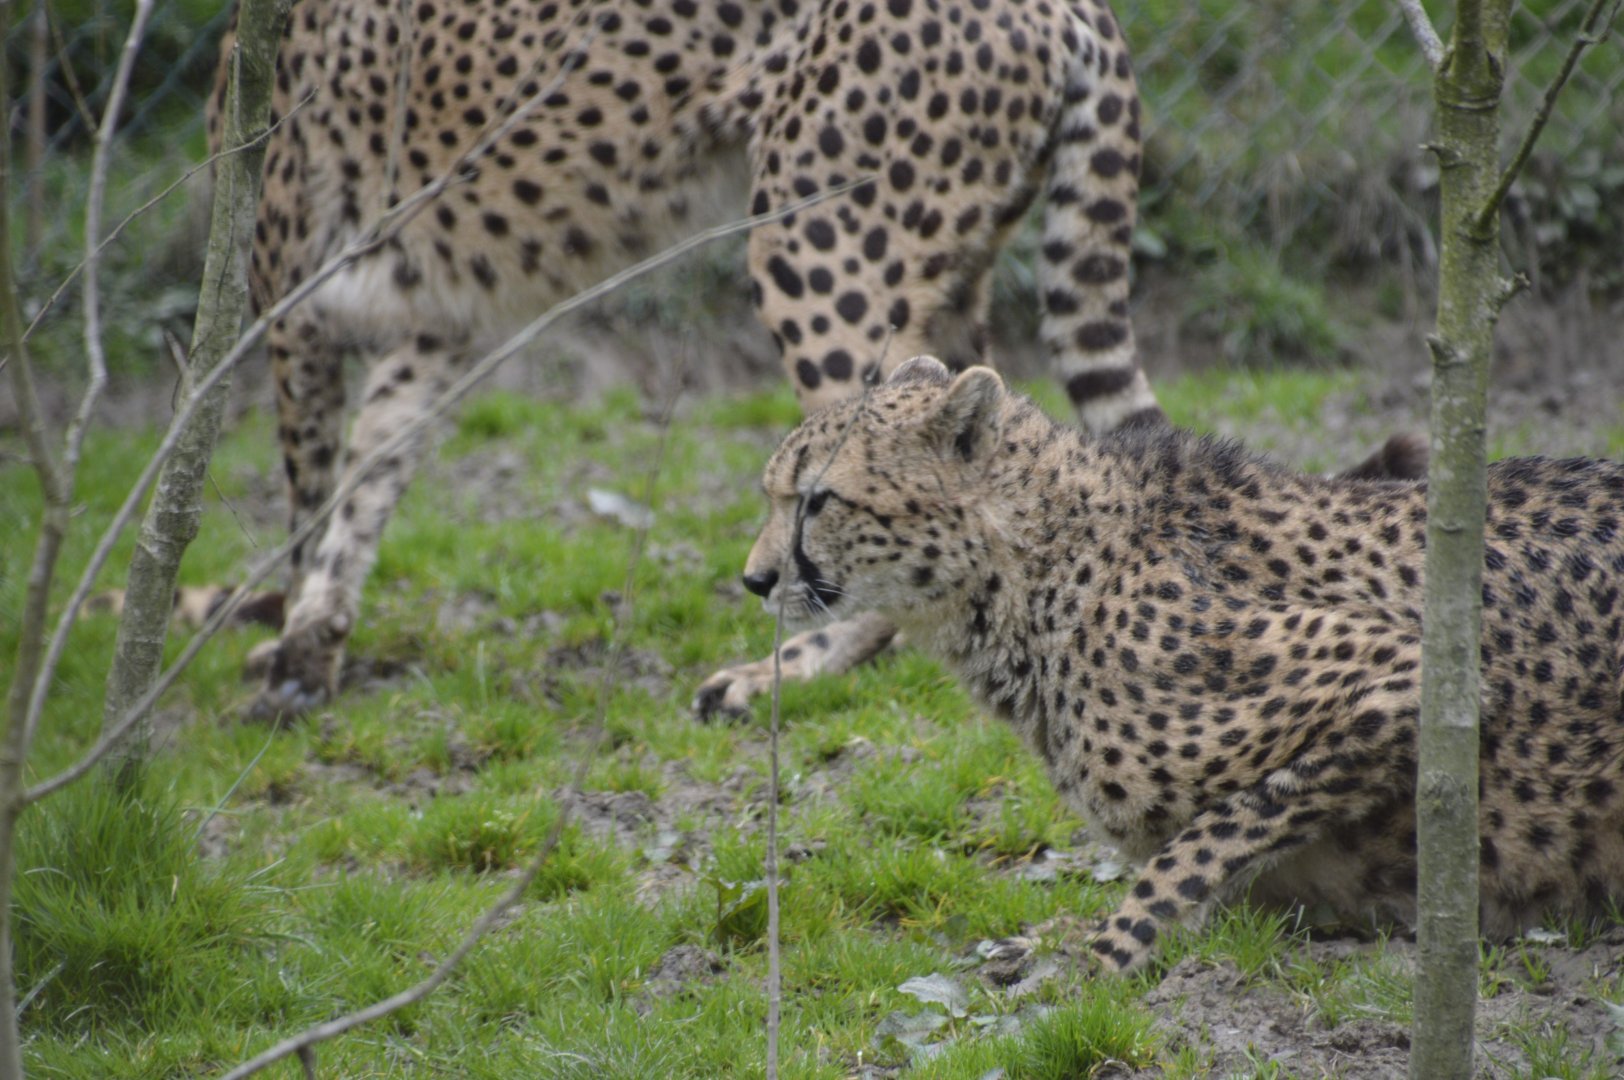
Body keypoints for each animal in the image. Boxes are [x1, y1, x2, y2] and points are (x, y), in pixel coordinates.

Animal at [218, 0, 1423, 718]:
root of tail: (1070, 4)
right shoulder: (433, 326)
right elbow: (369, 476)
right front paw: (314, 641)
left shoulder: (293, 301)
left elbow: (308, 491)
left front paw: (281, 643)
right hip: (945, 283)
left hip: (814, 236)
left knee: (891, 525)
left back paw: (774, 672)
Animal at [743, 354, 1624, 973]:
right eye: (774, 494)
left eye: (818, 499)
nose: (753, 579)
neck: (1039, 568)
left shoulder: (1405, 672)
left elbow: (1201, 842)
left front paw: (1104, 953)